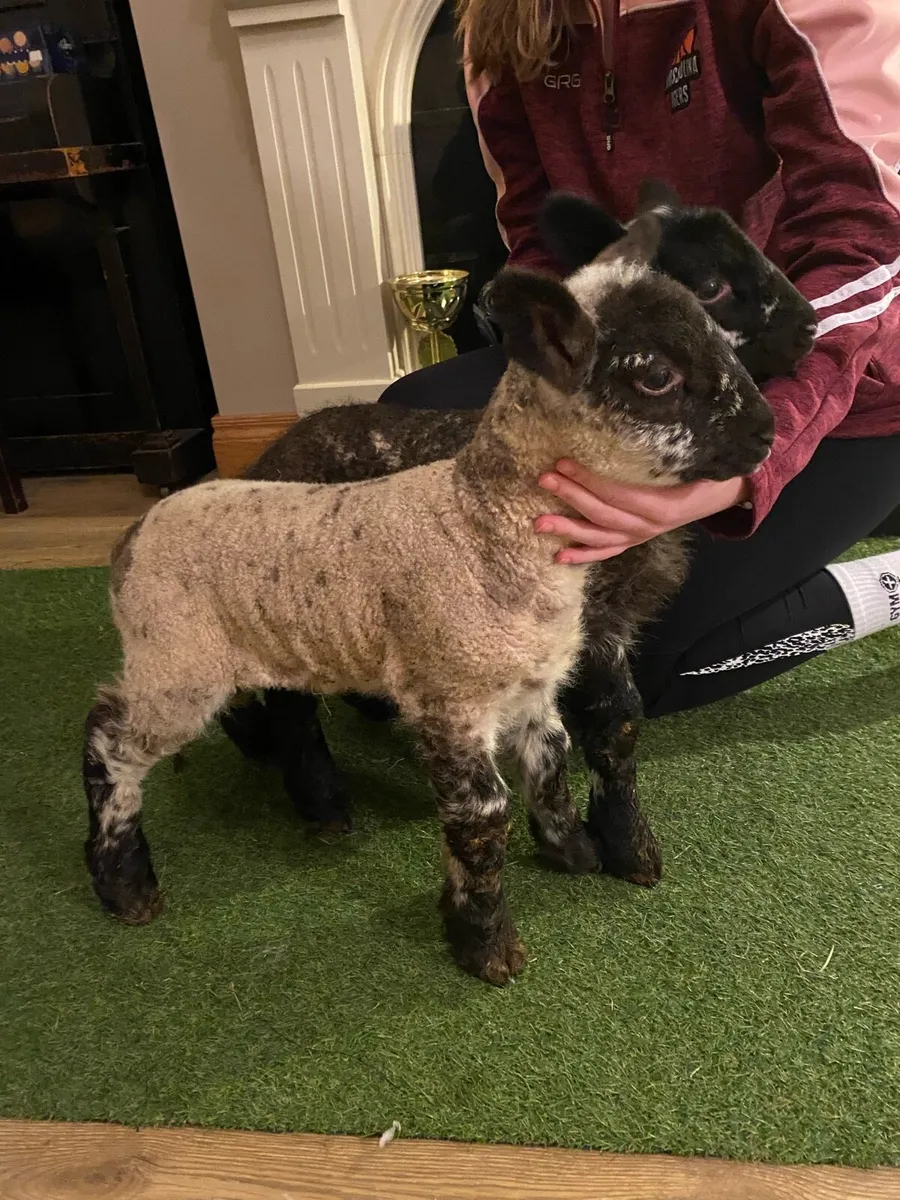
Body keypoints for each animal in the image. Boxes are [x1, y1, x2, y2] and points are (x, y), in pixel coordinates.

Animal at [83, 207, 776, 985]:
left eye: (719, 331)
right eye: (656, 375)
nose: (768, 432)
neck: (482, 519)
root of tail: (134, 536)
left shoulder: (532, 683)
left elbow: (553, 761)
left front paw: (572, 851)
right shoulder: (451, 697)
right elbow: (482, 818)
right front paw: (485, 944)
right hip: (176, 662)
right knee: (108, 738)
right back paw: (125, 883)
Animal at [221, 183, 817, 885]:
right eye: (712, 286)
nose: (809, 325)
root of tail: (264, 459)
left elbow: (610, 726)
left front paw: (616, 839)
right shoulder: (587, 623)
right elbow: (615, 721)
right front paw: (628, 845)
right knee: (288, 703)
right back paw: (322, 802)